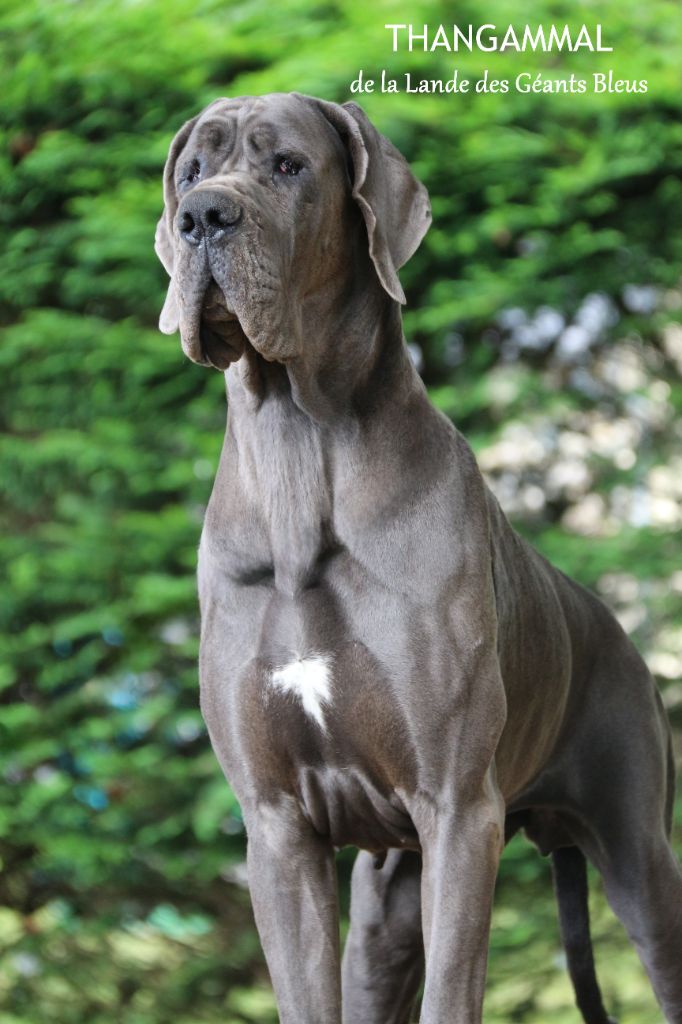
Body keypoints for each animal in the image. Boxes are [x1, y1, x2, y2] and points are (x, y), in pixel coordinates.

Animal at [153, 92, 679, 1019]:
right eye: (192, 170)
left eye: (287, 166)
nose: (202, 216)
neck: (300, 451)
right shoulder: (278, 825)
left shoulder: (459, 809)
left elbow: (453, 993)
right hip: (385, 908)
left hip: (640, 857)